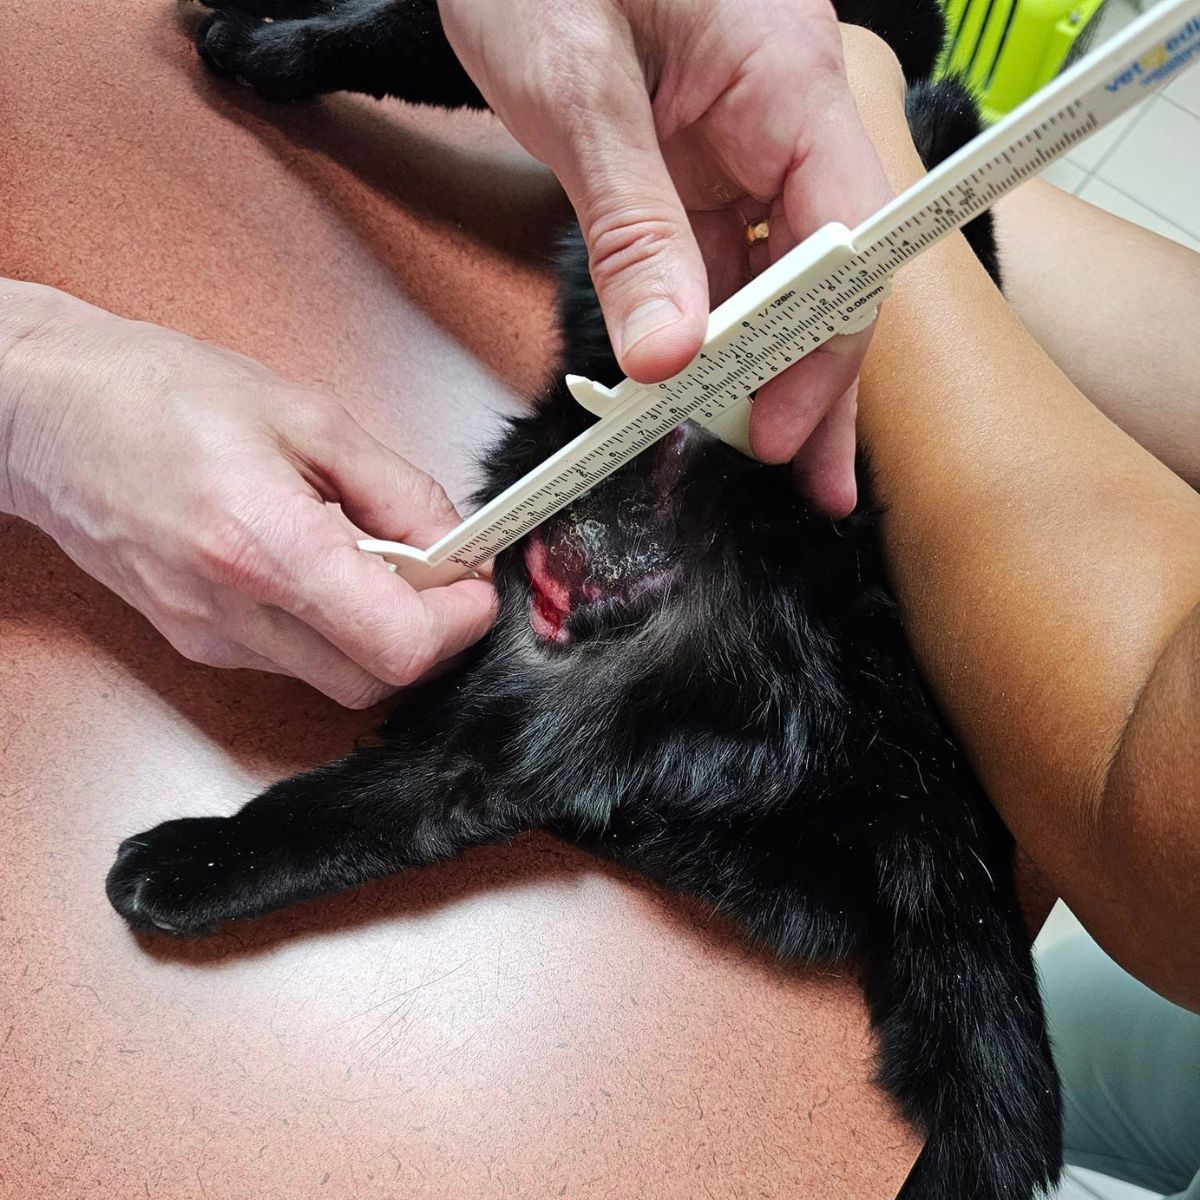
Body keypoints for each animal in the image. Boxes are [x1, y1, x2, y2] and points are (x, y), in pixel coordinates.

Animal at [103, 4, 1060, 1195]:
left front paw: (257, 42)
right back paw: (186, 869)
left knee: (412, 798)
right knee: (414, 803)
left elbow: (397, 34)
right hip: (569, 721)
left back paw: (164, 868)